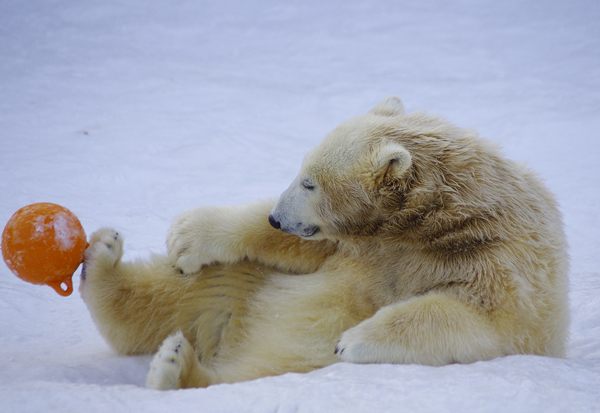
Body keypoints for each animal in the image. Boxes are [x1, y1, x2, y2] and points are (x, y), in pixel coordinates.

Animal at [79, 96, 568, 390]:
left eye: (310, 182)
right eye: (301, 172)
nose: (278, 217)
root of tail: (232, 336)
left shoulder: (497, 253)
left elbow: (479, 317)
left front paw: (354, 340)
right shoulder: (361, 244)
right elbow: (302, 246)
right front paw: (188, 235)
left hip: (288, 357)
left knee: (251, 371)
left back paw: (176, 367)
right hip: (246, 284)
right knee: (184, 290)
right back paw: (101, 258)